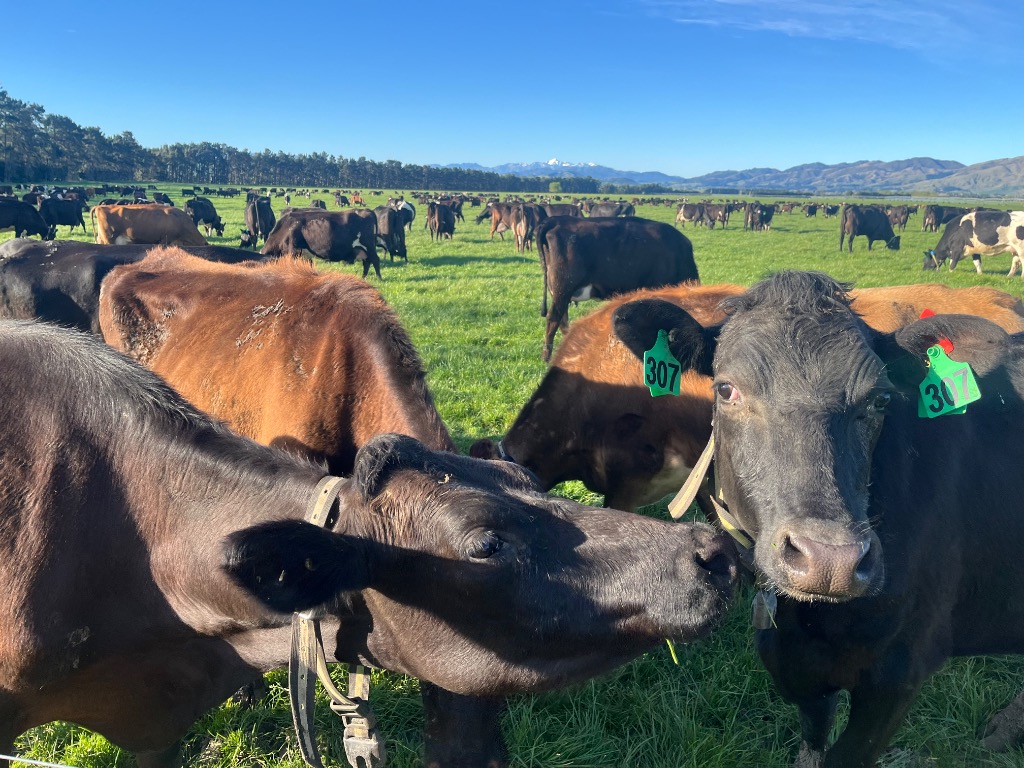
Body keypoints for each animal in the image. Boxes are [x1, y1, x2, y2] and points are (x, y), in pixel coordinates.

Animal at [537, 216, 699, 362]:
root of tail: (558, 220)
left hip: (559, 292)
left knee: (562, 320)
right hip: (562, 289)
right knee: (554, 318)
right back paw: (548, 357)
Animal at [609, 269, 1024, 765]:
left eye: (881, 399)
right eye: (726, 389)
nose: (831, 561)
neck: (809, 624)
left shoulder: (898, 678)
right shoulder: (799, 671)